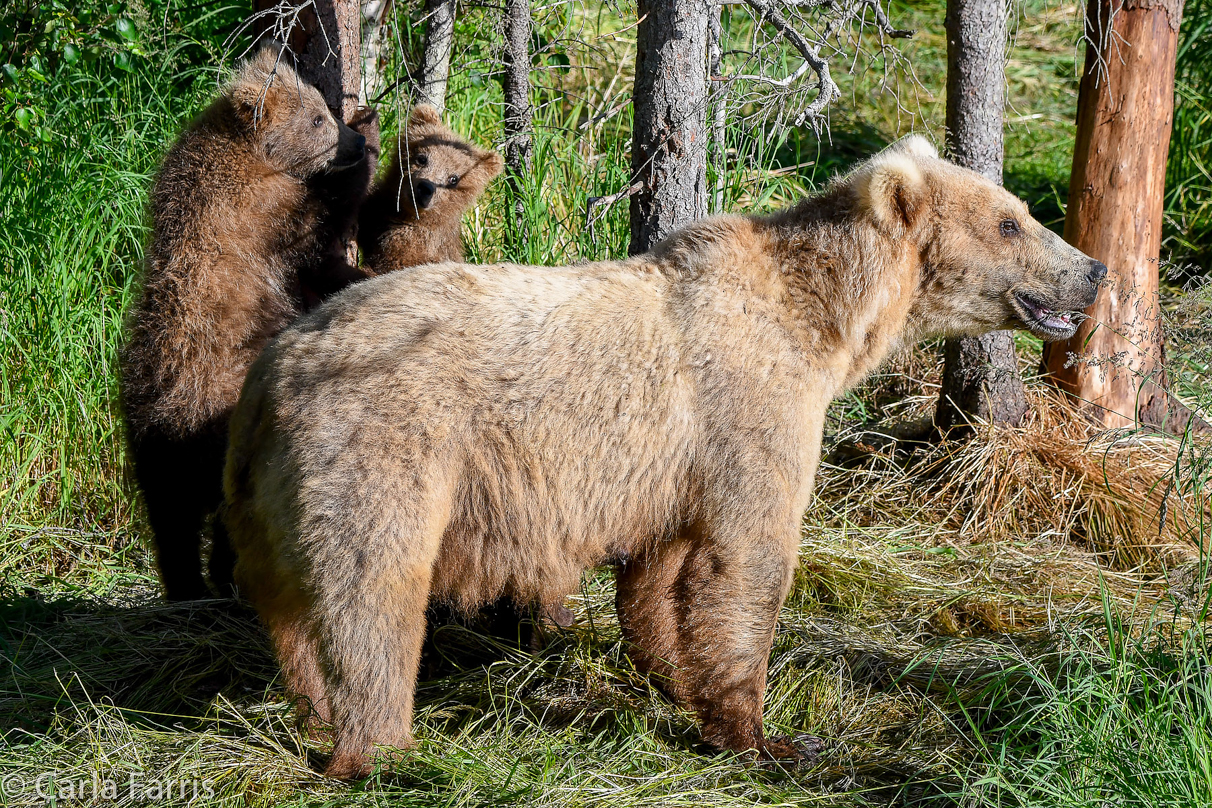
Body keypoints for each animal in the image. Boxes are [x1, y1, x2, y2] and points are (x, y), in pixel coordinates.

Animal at [220, 137, 1110, 775]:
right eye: (1012, 219)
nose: (1095, 271)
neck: (825, 321)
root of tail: (275, 369)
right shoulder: (748, 409)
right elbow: (747, 560)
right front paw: (768, 736)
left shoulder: (671, 466)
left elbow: (659, 574)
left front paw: (676, 682)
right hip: (382, 446)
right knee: (373, 590)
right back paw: (381, 746)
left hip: (262, 489)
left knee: (286, 601)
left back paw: (314, 711)